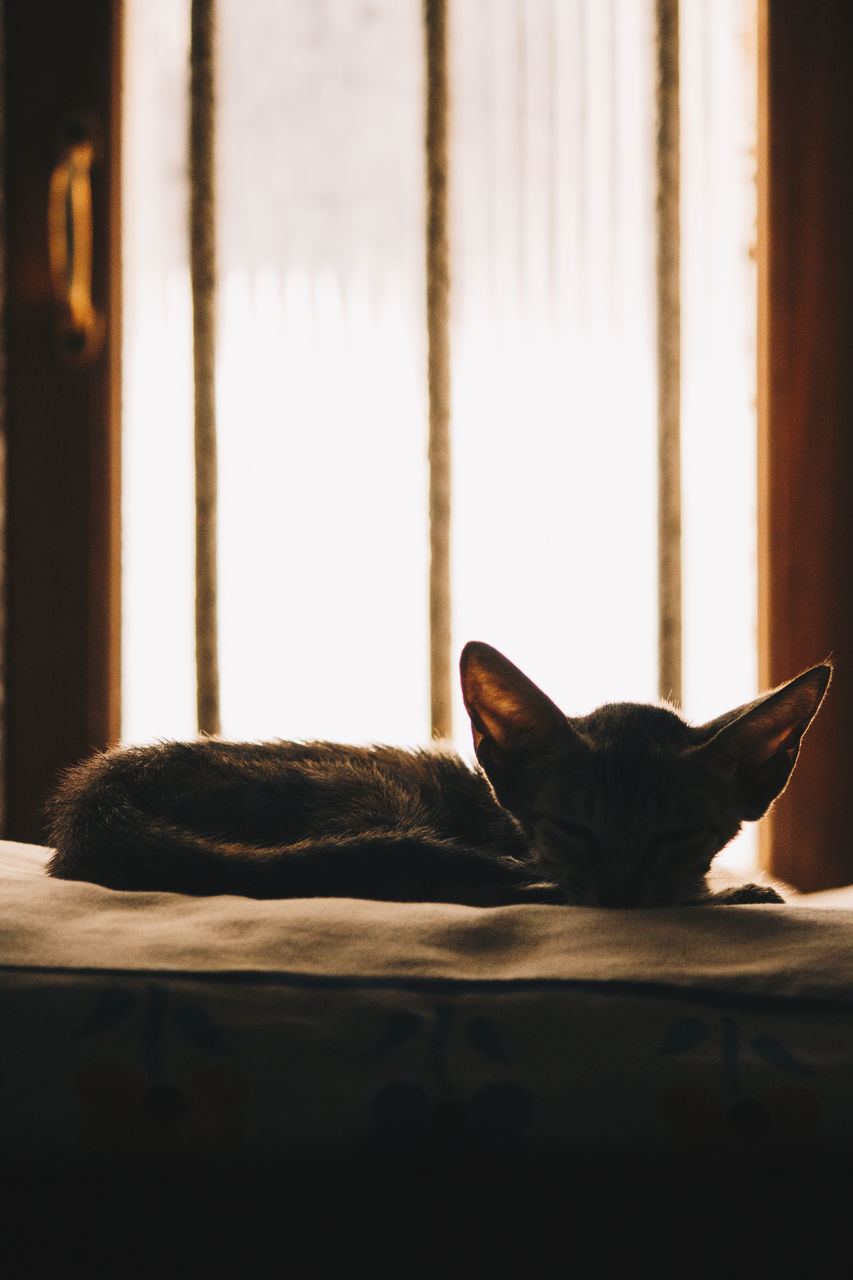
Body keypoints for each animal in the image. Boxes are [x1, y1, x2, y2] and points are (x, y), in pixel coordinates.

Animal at [43, 640, 824, 911]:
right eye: (572, 828)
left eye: (676, 835)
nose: (622, 896)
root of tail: (100, 796)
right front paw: (734, 893)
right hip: (372, 793)